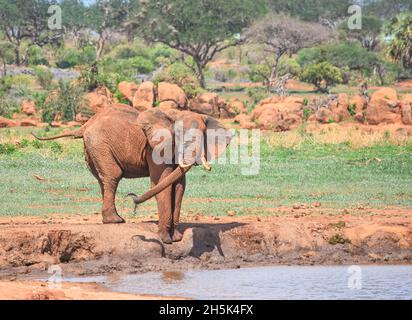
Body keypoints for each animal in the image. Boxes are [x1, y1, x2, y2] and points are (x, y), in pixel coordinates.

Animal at [33, 104, 232, 244]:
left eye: (203, 135)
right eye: (179, 135)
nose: (133, 198)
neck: (175, 114)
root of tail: (85, 125)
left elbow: (179, 186)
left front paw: (176, 238)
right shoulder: (154, 148)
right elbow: (162, 183)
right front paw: (166, 240)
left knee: (103, 180)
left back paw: (113, 218)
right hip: (99, 144)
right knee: (113, 176)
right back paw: (116, 221)